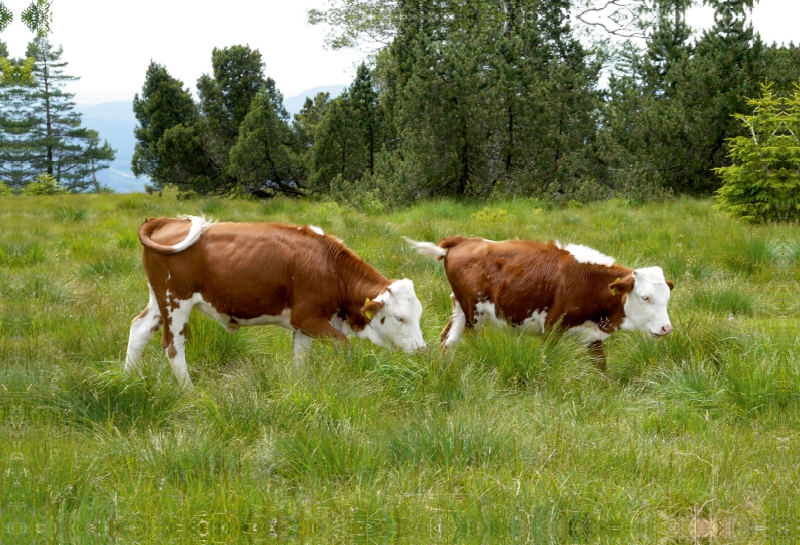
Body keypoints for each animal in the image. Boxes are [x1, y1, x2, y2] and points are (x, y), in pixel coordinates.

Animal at [125, 217, 424, 386]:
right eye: (399, 317)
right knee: (173, 346)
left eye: (419, 314)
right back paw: (189, 391)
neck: (329, 265)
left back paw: (129, 379)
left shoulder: (305, 326)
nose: (422, 350)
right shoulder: (308, 317)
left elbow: (300, 360)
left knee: (138, 329)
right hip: (176, 302)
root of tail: (168, 221)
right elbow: (343, 345)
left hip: (159, 301)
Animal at [406, 235, 676, 368]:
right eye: (645, 297)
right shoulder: (552, 330)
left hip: (460, 311)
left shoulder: (592, 336)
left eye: (666, 298)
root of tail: (462, 240)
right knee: (471, 342)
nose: (666, 328)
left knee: (446, 341)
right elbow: (548, 362)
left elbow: (600, 366)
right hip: (474, 315)